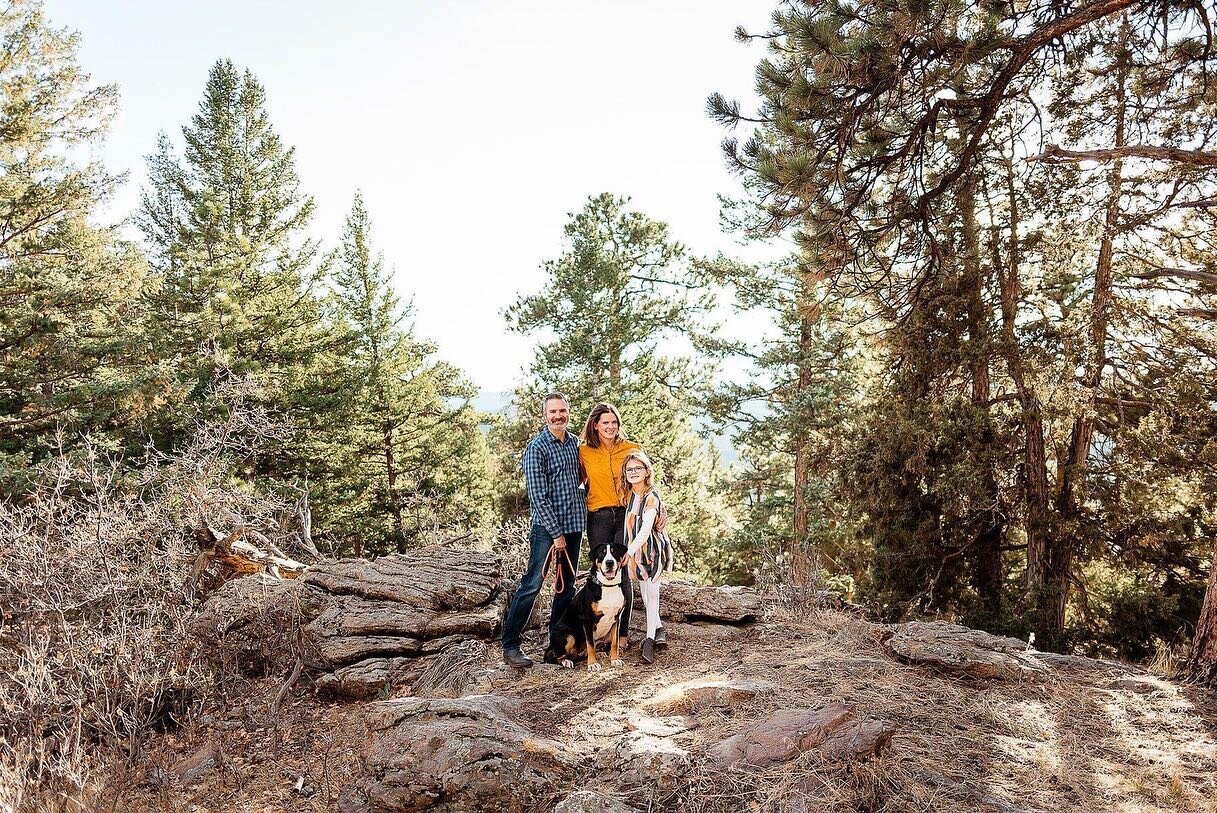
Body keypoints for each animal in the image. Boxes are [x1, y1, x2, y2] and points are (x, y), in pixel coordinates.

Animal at [550, 542, 632, 671]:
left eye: (614, 552)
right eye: (602, 554)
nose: (609, 562)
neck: (608, 586)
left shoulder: (616, 619)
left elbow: (615, 643)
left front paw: (615, 659)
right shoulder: (587, 620)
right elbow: (590, 644)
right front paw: (592, 664)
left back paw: (600, 653)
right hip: (568, 636)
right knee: (553, 656)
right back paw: (566, 661)